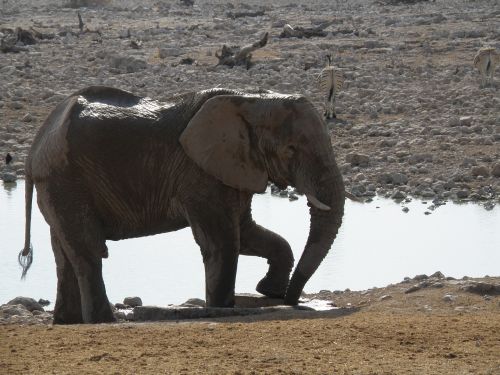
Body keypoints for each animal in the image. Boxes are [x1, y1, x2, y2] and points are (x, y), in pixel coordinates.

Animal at [20, 86, 348, 324]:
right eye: (290, 150)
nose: (292, 301)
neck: (250, 100)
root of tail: (36, 144)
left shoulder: (233, 168)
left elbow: (246, 233)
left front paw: (268, 290)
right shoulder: (200, 173)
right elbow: (223, 242)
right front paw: (222, 308)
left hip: (57, 184)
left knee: (64, 255)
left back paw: (67, 322)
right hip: (65, 179)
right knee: (89, 252)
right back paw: (104, 322)